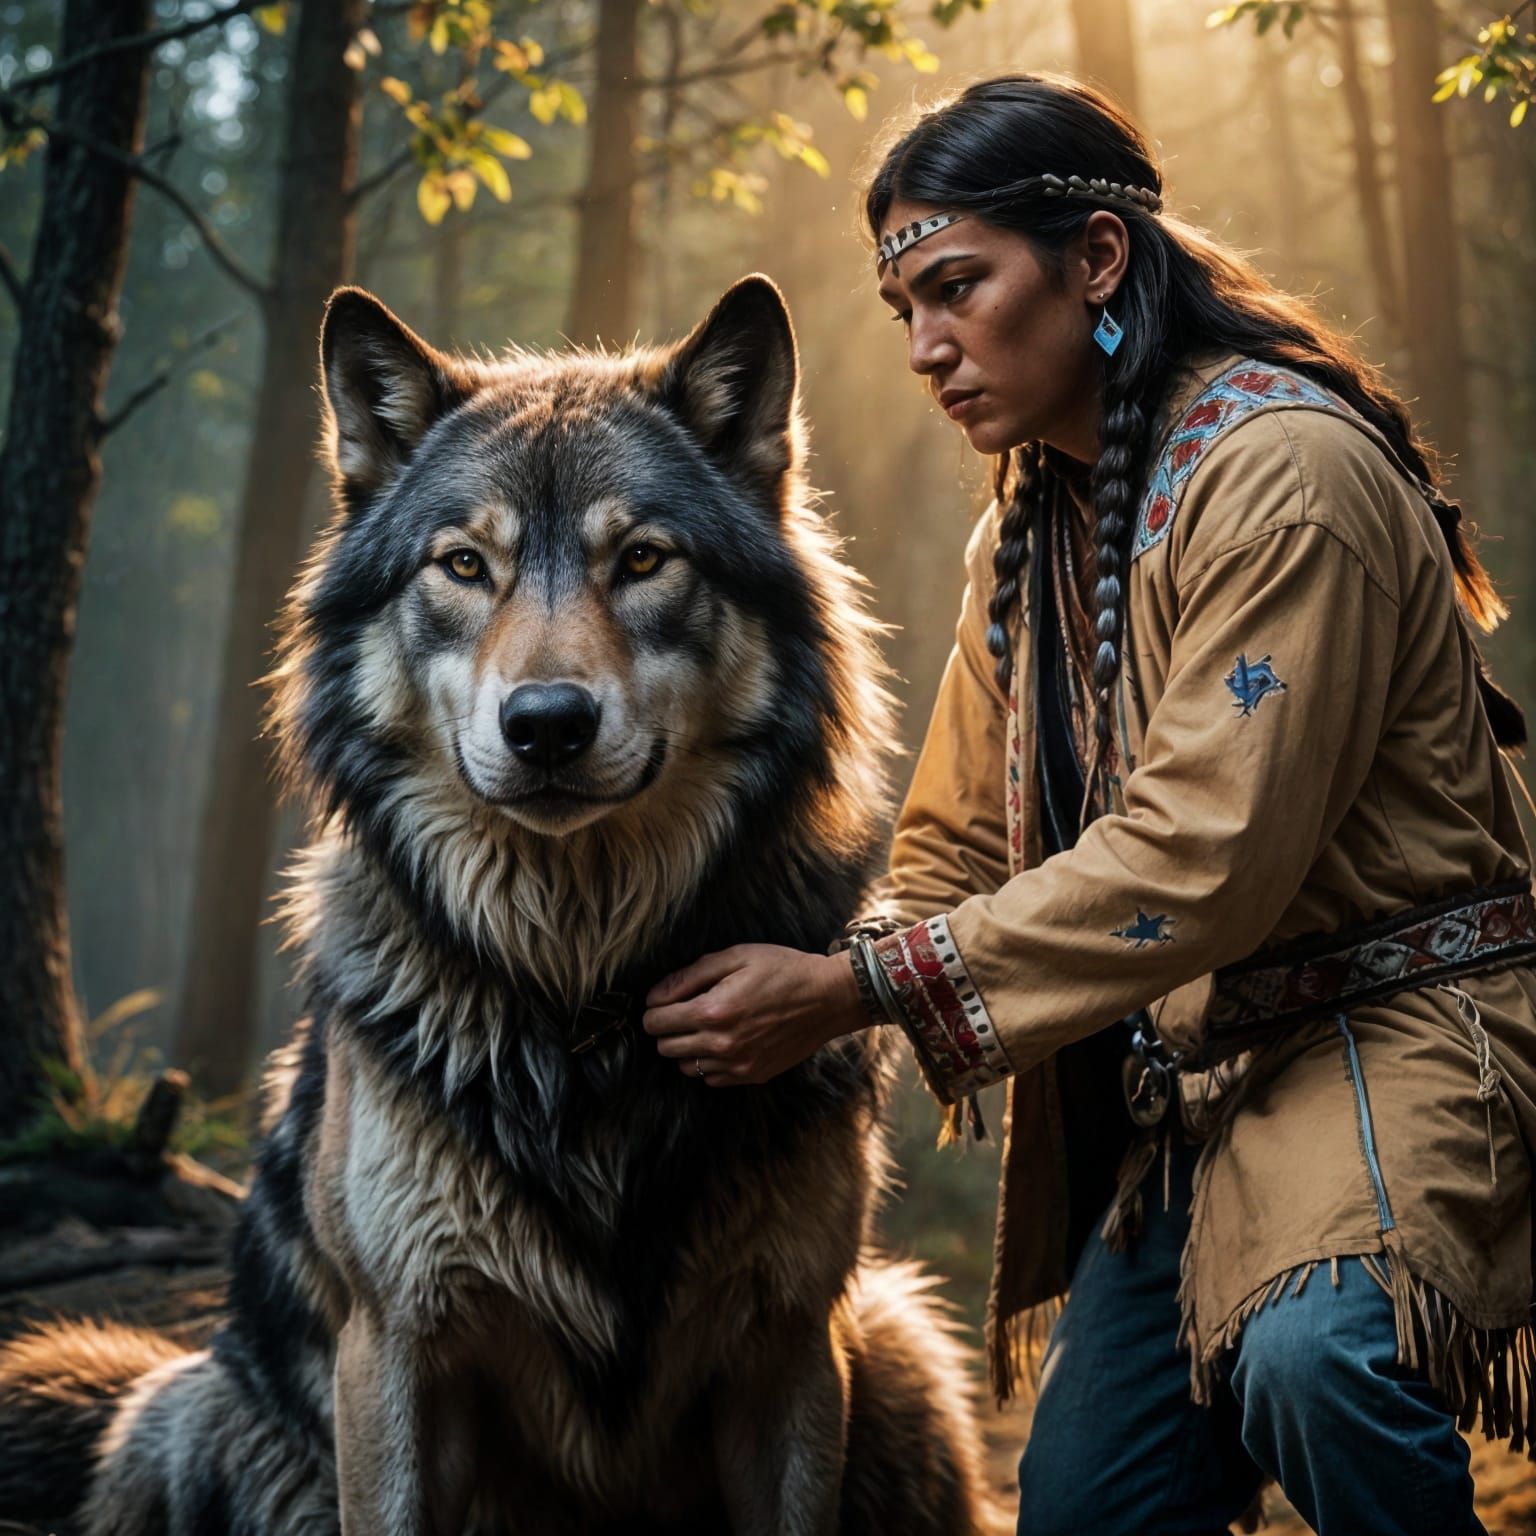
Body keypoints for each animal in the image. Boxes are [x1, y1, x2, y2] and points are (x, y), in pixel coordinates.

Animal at [0, 276, 989, 1535]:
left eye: (644, 559)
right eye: (464, 566)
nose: (548, 724)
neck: (578, 999)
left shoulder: (792, 1350)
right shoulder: (398, 1352)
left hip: (902, 1346)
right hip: (183, 1417)